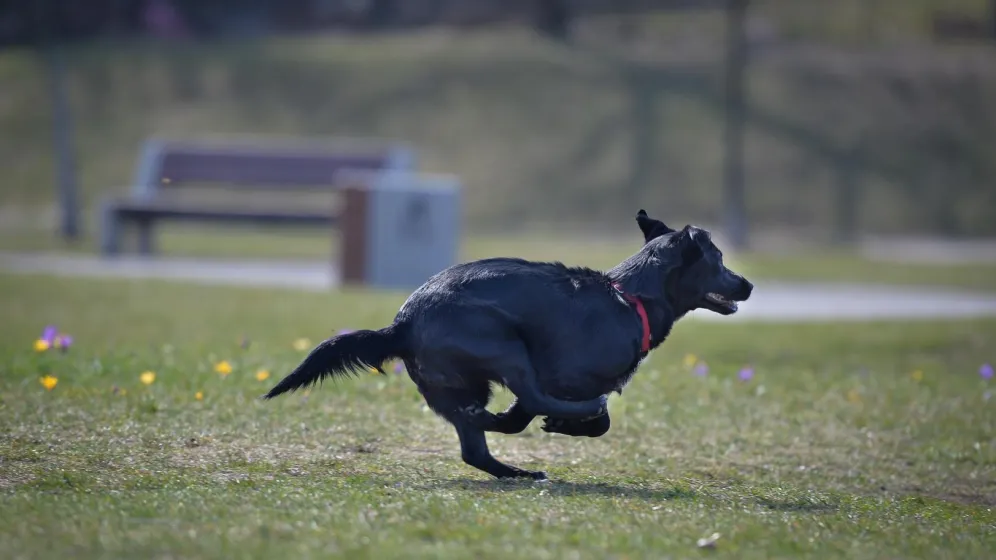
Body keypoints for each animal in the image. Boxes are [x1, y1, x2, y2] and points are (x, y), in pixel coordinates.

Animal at [260, 210, 752, 482]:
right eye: (719, 259)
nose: (748, 284)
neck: (629, 298)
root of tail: (402, 323)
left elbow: (532, 416)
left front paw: (549, 424)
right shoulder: (563, 374)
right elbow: (594, 415)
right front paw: (567, 421)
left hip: (456, 383)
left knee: (474, 448)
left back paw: (516, 467)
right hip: (506, 346)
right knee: (521, 404)